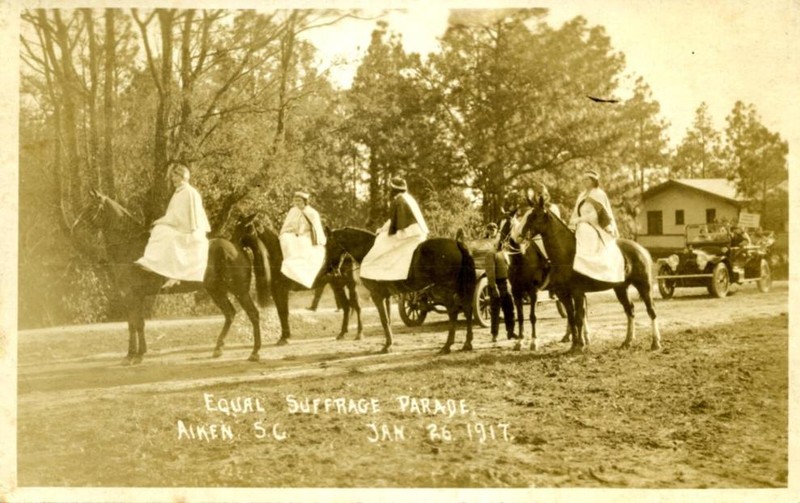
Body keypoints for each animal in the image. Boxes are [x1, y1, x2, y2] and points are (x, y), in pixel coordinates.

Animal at [74, 191, 270, 364]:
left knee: (253, 314)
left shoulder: (133, 296)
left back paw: (255, 352)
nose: (75, 227)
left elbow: (137, 324)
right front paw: (133, 355)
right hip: (216, 291)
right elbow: (133, 324)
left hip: (239, 291)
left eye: (92, 207)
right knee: (230, 314)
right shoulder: (132, 297)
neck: (129, 247)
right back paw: (218, 348)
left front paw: (136, 356)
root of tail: (235, 245)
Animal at [324, 227, 476, 354]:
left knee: (453, 312)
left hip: (445, 290)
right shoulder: (386, 296)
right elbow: (388, 320)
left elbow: (384, 320)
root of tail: (456, 243)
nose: (330, 270)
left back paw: (447, 345)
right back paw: (467, 343)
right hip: (459, 289)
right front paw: (389, 343)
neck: (369, 252)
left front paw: (387, 346)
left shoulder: (377, 296)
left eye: (328, 245)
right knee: (467, 309)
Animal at [520, 193, 664, 354]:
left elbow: (578, 317)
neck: (567, 254)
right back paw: (627, 342)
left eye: (535, 215)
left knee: (651, 310)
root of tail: (641, 249)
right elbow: (571, 318)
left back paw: (655, 343)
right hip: (620, 288)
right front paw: (574, 345)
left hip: (644, 286)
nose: (520, 235)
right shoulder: (563, 294)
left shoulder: (577, 293)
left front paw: (580, 345)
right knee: (630, 310)